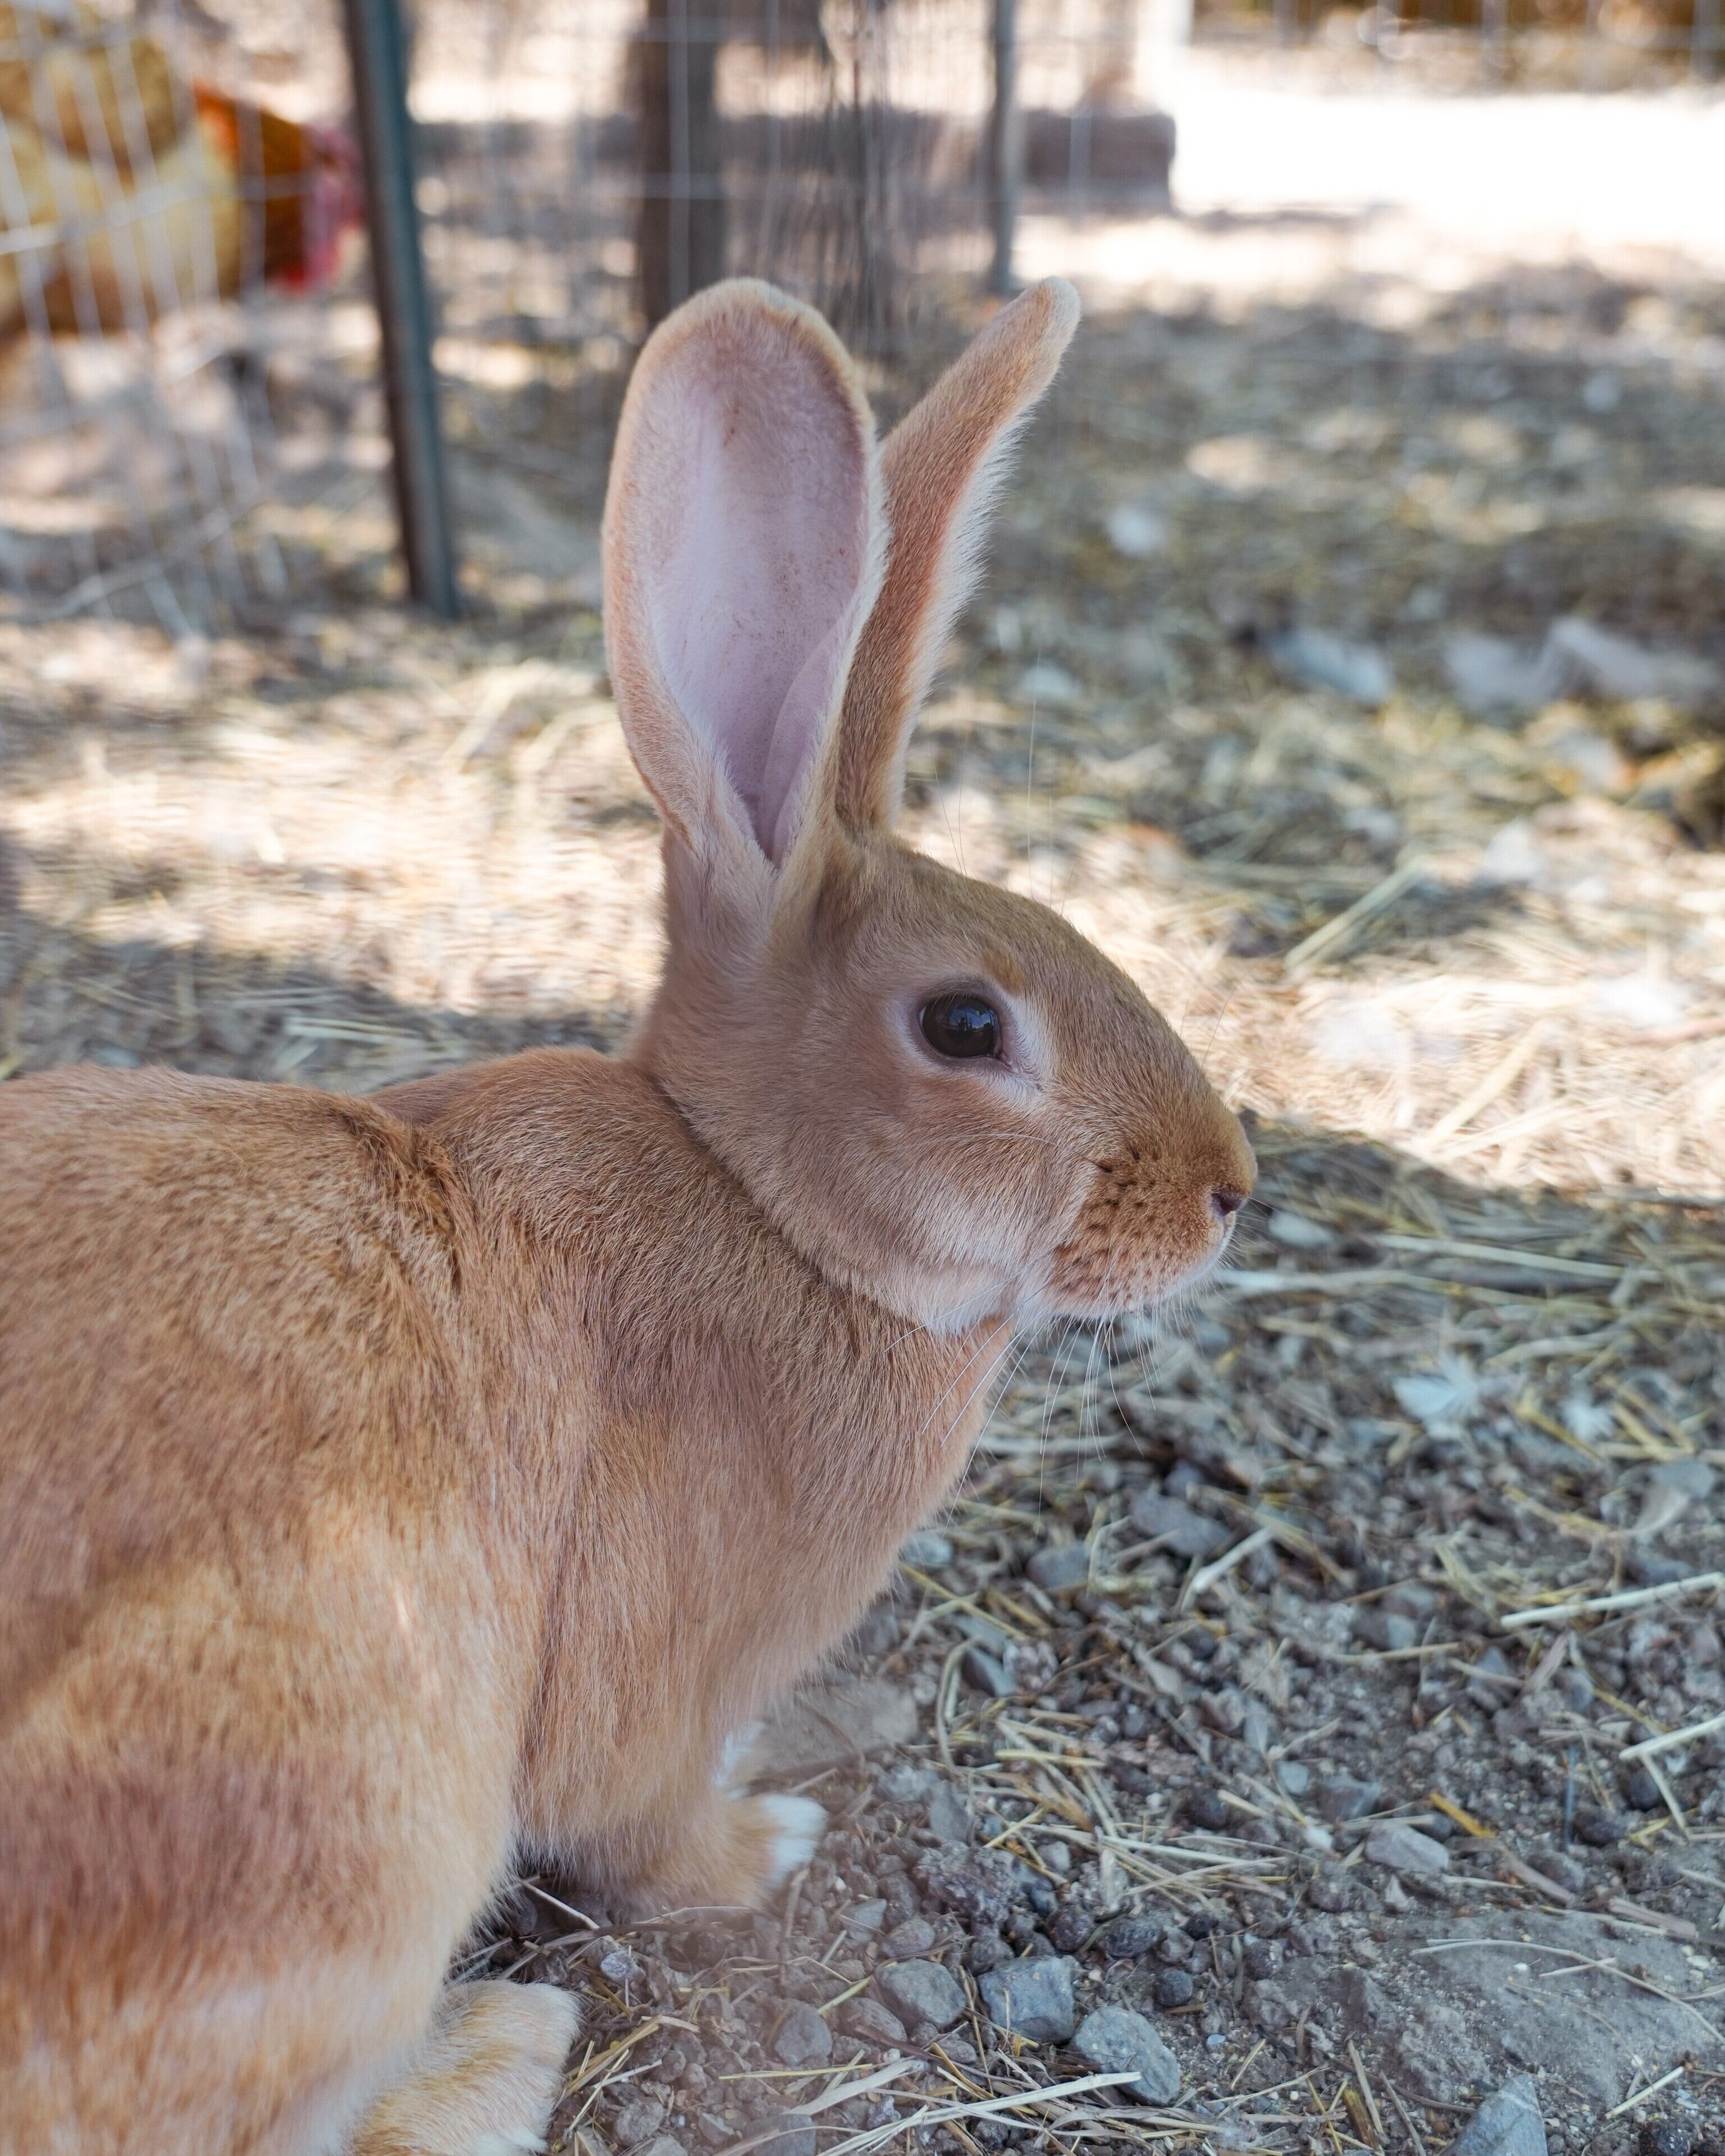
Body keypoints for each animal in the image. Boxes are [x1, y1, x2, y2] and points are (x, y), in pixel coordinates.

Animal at [0, 274, 1254, 2156]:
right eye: (969, 1025)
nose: (1229, 1186)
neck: (760, 1202)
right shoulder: (658, 1692)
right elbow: (648, 1826)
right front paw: (771, 1841)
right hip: (341, 1829)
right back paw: (499, 2050)